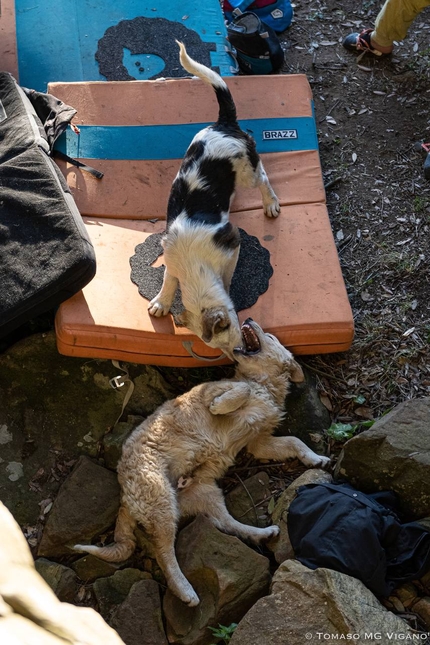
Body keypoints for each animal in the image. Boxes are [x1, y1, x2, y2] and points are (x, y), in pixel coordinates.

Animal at [74, 320, 330, 608]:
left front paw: (315, 458)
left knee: (225, 524)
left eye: (271, 336)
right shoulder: (212, 393)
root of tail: (125, 498)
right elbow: (240, 391)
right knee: (164, 553)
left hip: (206, 493)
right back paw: (185, 590)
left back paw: (261, 533)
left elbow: (294, 440)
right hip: (161, 501)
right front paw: (222, 405)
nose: (248, 319)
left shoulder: (259, 442)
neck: (263, 384)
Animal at [149, 44, 280, 358]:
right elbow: (168, 279)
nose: (240, 353)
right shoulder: (171, 256)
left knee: (263, 177)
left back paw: (270, 203)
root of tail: (224, 123)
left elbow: (228, 275)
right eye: (222, 344)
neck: (195, 264)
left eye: (230, 330)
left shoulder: (232, 243)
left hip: (248, 173)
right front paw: (161, 302)